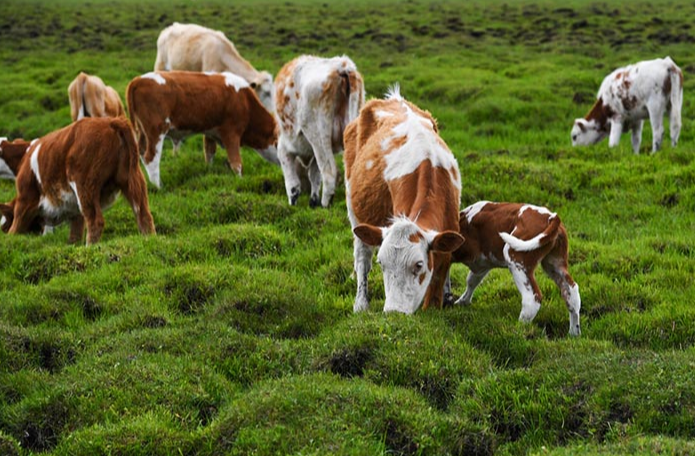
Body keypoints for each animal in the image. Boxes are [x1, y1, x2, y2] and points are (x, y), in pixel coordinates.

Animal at [0, 117, 155, 246]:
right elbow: (76, 231)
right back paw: (149, 239)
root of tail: (111, 122)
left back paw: (90, 248)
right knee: (143, 214)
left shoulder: (25, 198)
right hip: (133, 179)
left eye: (4, 225)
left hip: (85, 183)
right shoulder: (74, 207)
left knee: (95, 220)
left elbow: (16, 226)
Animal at [126, 70, 278, 188]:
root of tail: (138, 80)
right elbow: (236, 163)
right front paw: (240, 182)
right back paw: (158, 187)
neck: (245, 101)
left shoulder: (211, 132)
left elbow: (209, 154)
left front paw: (209, 172)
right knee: (151, 158)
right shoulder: (231, 133)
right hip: (156, 131)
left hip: (143, 133)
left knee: (142, 153)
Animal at [276, 54, 368, 208]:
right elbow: (314, 174)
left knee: (329, 171)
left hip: (318, 133)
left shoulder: (285, 147)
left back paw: (325, 203)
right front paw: (313, 200)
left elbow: (291, 179)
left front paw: (295, 200)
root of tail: (342, 65)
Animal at [346, 84, 464, 314]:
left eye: (418, 264)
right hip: (354, 210)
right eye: (382, 263)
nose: (394, 312)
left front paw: (444, 297)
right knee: (362, 257)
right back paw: (361, 303)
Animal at [452, 201, 580, 336]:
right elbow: (472, 281)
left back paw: (517, 330)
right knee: (571, 292)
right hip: (555, 263)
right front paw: (462, 302)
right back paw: (574, 333)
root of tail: (551, 217)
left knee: (532, 298)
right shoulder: (483, 264)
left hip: (516, 258)